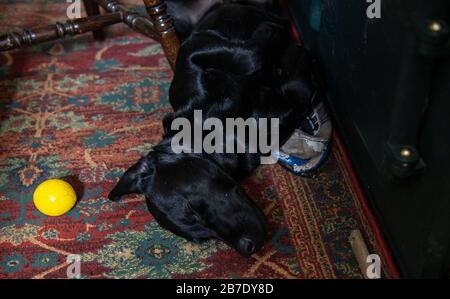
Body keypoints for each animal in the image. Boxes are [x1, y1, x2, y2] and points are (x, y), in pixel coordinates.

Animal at [109, 0, 314, 258]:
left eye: (191, 209)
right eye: (202, 237)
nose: (249, 248)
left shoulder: (193, 48)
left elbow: (251, 57)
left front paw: (274, 36)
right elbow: (298, 95)